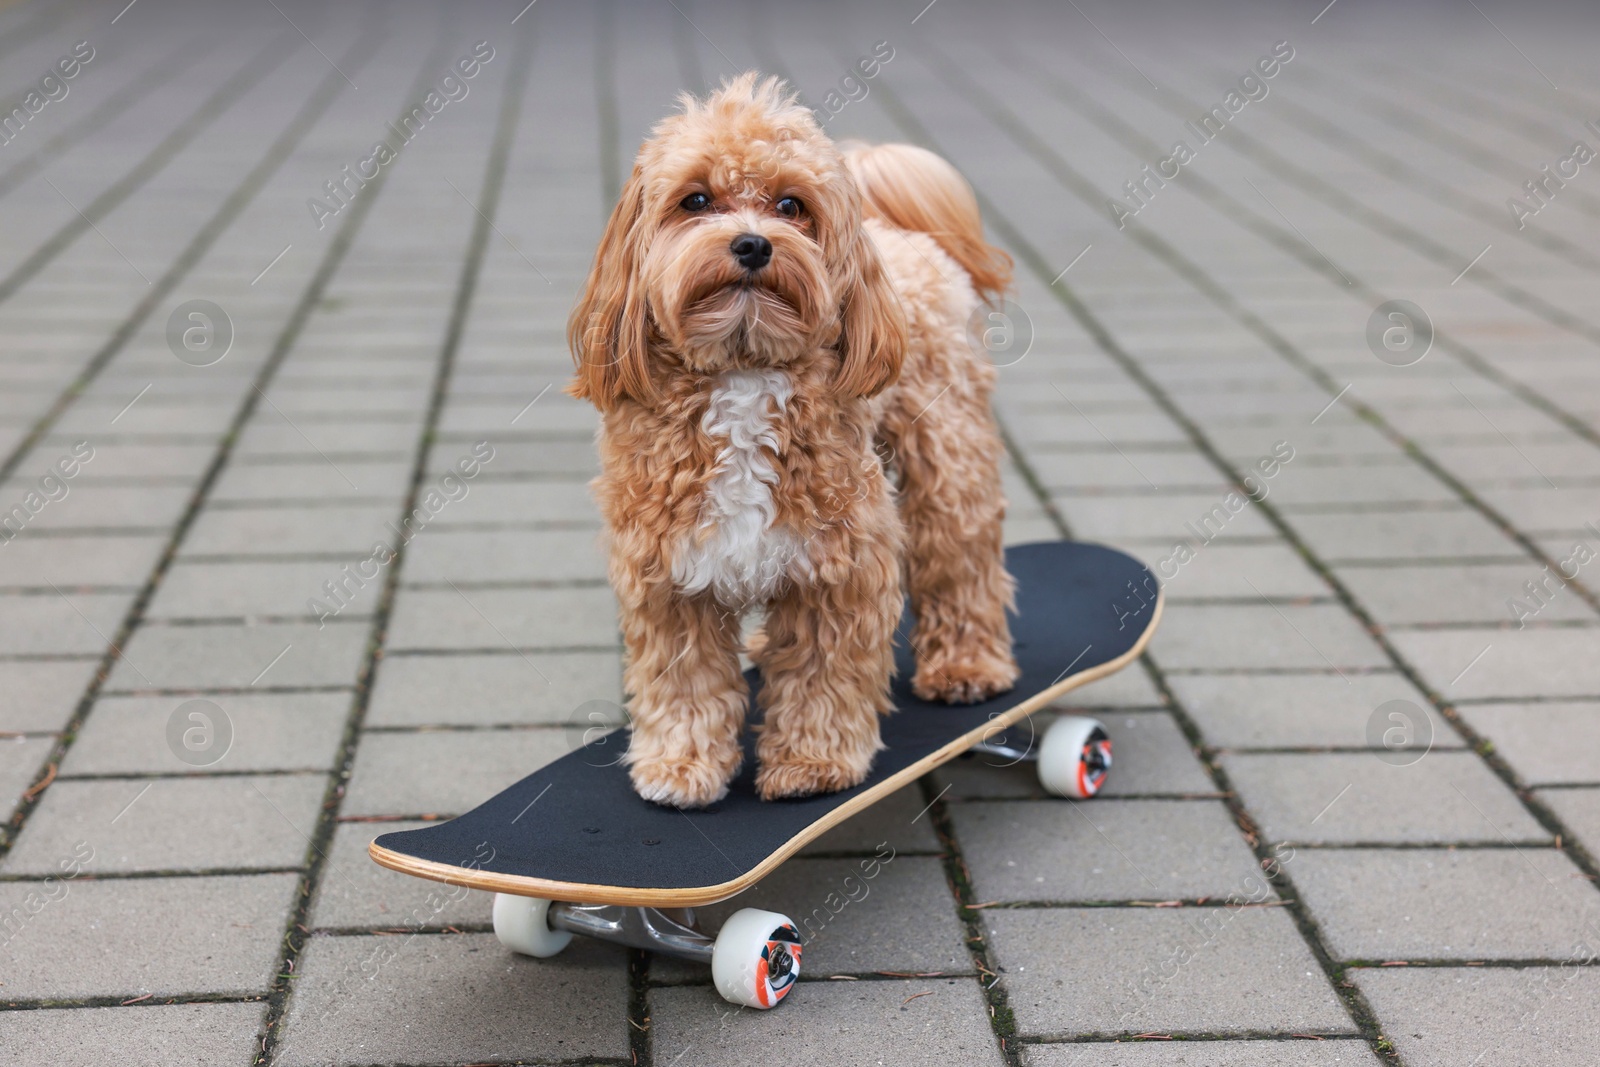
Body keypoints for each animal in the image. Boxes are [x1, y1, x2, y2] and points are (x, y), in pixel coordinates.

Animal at [569, 73, 1017, 809]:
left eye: (791, 206)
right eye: (696, 200)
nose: (753, 244)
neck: (744, 369)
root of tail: (897, 233)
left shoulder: (839, 565)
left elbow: (822, 672)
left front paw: (813, 762)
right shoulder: (669, 572)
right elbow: (684, 681)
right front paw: (681, 765)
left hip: (948, 456)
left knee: (961, 559)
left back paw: (967, 665)